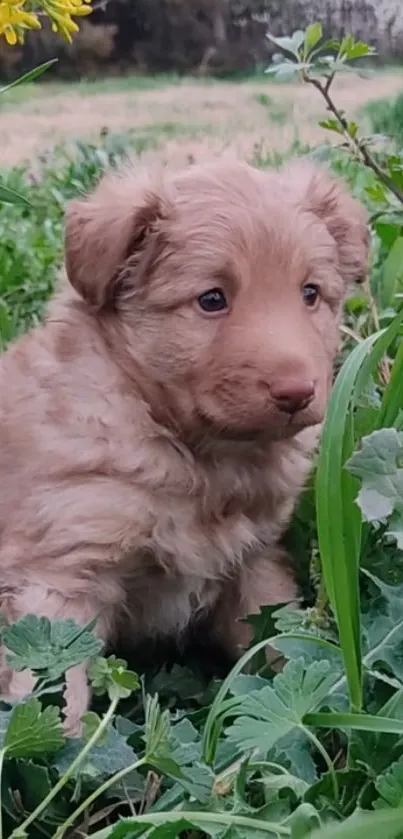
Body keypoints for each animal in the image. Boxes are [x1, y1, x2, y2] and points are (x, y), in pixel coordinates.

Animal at [0, 158, 370, 736]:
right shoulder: (59, 576)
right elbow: (53, 689)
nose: (297, 392)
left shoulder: (254, 562)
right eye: (212, 299)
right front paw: (58, 754)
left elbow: (277, 642)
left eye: (310, 293)